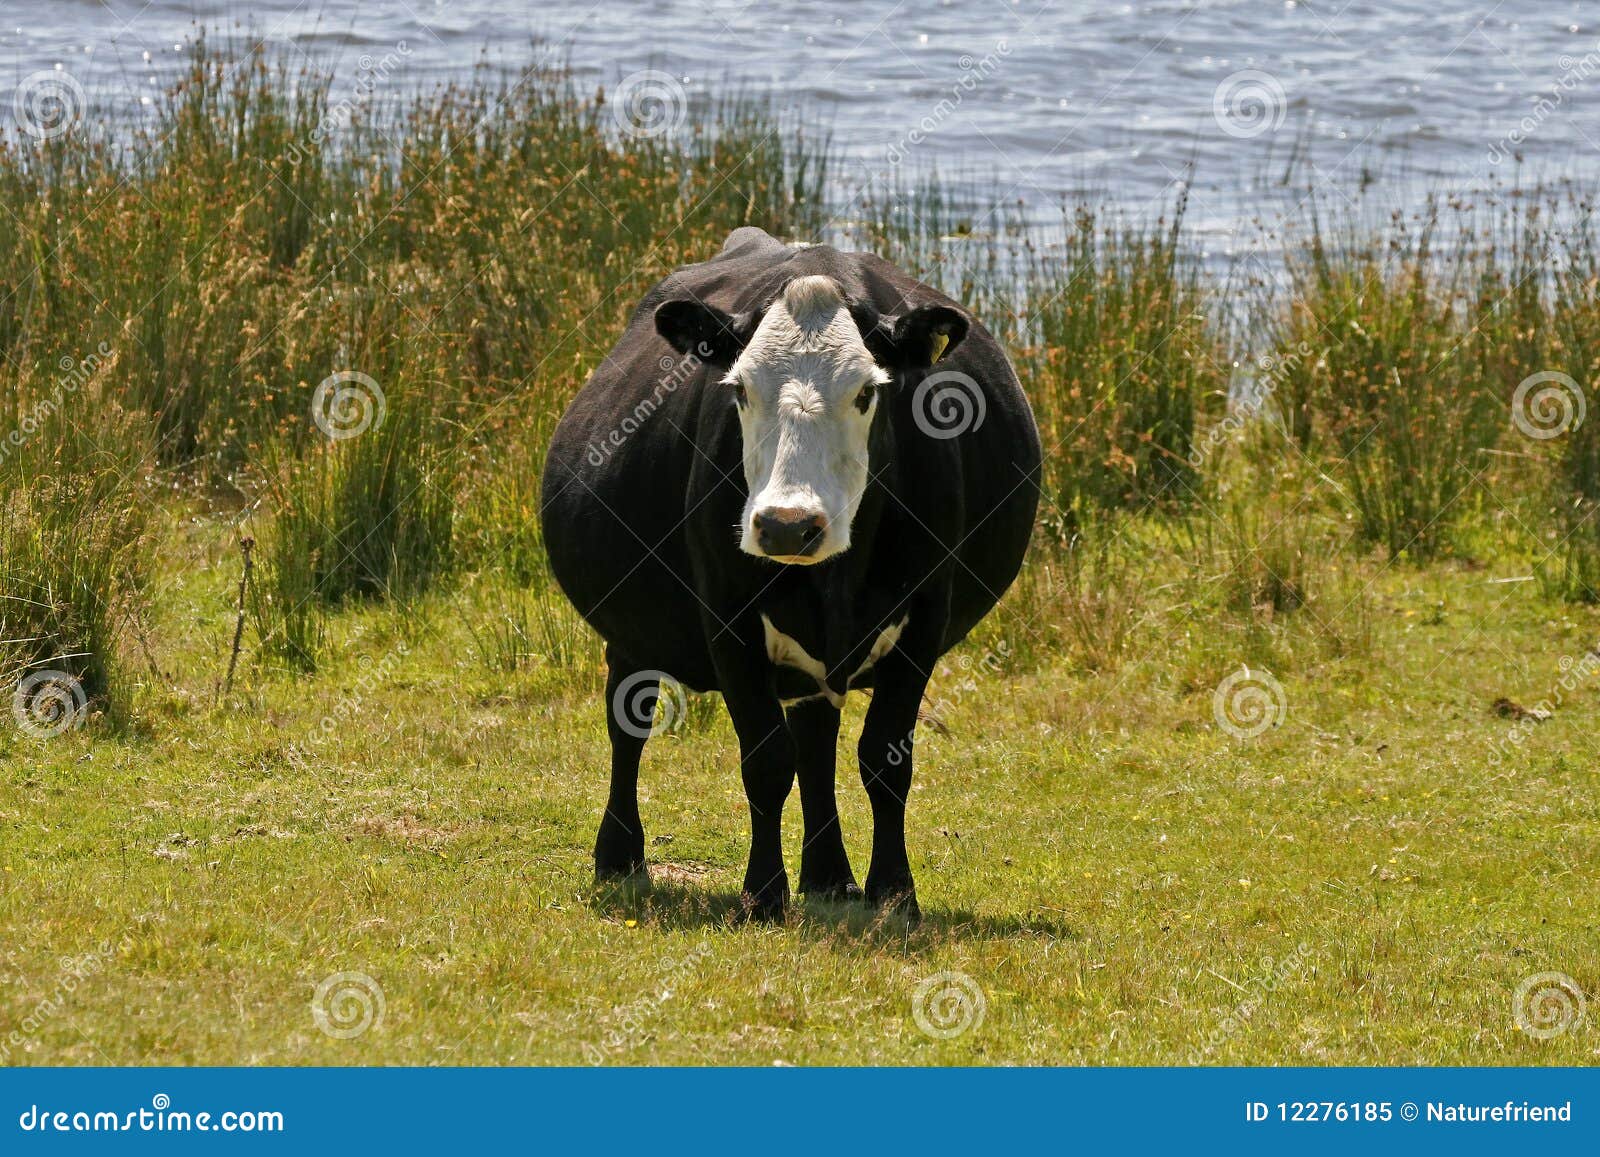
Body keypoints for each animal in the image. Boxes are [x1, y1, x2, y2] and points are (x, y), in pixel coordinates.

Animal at [540, 226, 1041, 921]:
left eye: (867, 391)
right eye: (739, 389)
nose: (786, 525)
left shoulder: (926, 616)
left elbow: (884, 760)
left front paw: (894, 893)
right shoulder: (727, 617)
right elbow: (766, 759)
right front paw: (762, 894)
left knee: (817, 736)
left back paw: (829, 875)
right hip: (630, 631)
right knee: (628, 725)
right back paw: (619, 856)